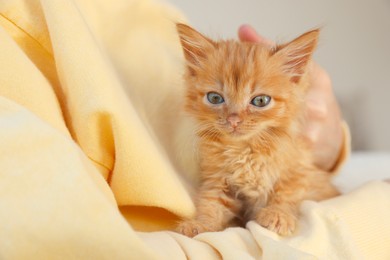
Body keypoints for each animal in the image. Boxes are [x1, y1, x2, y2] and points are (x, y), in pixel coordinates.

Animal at [175, 23, 340, 237]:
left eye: (260, 101)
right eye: (215, 98)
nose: (234, 120)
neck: (246, 150)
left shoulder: (300, 169)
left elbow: (288, 192)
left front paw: (277, 215)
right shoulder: (218, 179)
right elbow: (211, 203)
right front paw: (201, 224)